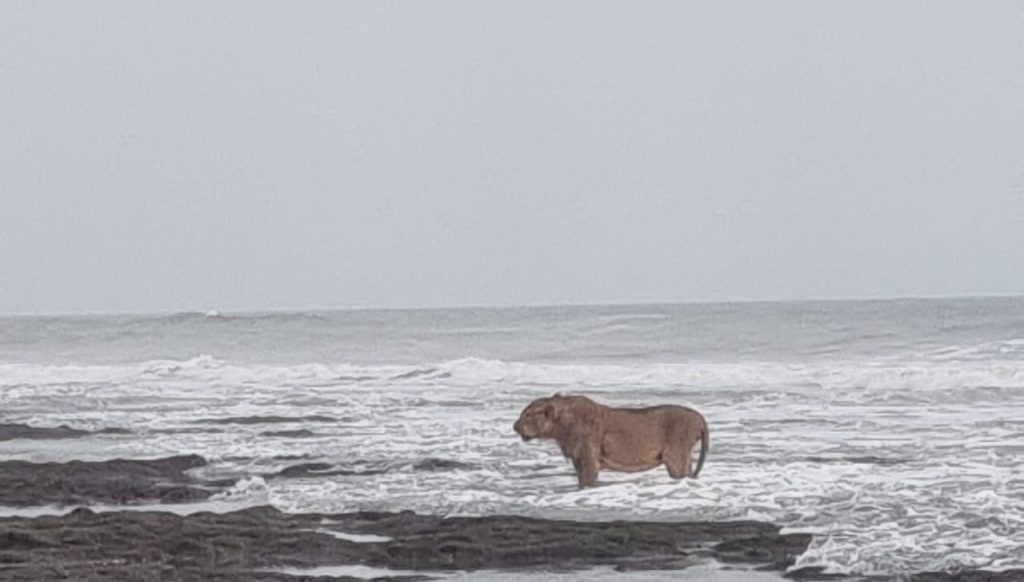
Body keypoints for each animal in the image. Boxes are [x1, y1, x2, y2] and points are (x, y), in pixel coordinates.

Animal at [513, 394, 708, 488]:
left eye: (527, 415)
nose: (515, 426)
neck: (561, 428)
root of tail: (699, 416)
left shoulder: (589, 457)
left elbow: (588, 481)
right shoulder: (577, 459)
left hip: (675, 457)